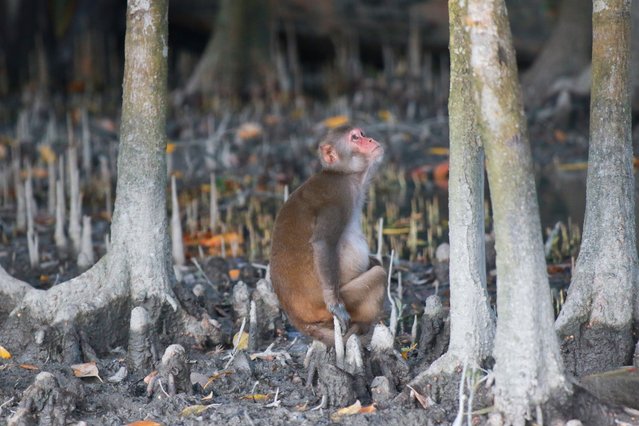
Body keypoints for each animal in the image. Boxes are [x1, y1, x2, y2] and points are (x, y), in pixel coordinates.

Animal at [268, 125, 388, 346]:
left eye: (362, 134)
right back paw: (362, 329)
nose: (370, 139)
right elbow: (322, 243)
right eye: (355, 138)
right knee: (379, 274)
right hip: (334, 304)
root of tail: (297, 320)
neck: (342, 174)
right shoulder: (339, 196)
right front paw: (335, 304)